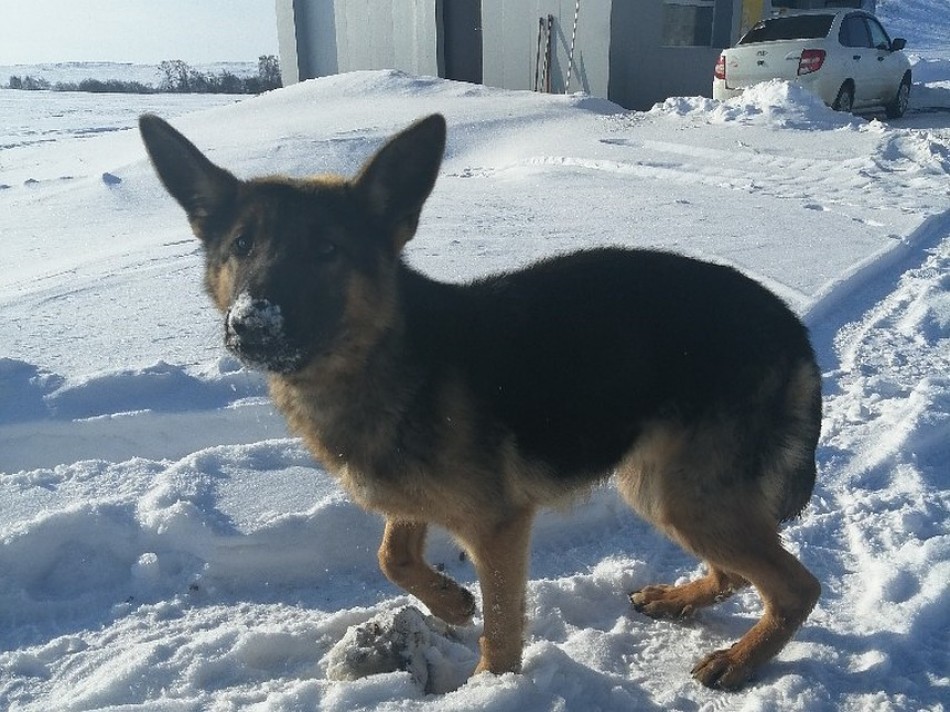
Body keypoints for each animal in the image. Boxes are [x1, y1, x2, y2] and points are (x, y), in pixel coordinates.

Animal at [141, 112, 824, 688]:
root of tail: (789, 323)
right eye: (241, 246)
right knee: (737, 573)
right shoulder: (412, 499)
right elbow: (391, 554)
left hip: (682, 492)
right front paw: (448, 600)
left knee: (797, 588)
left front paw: (490, 686)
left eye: (327, 250)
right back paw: (681, 601)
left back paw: (740, 660)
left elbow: (500, 624)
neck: (382, 356)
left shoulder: (498, 526)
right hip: (661, 485)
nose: (252, 326)